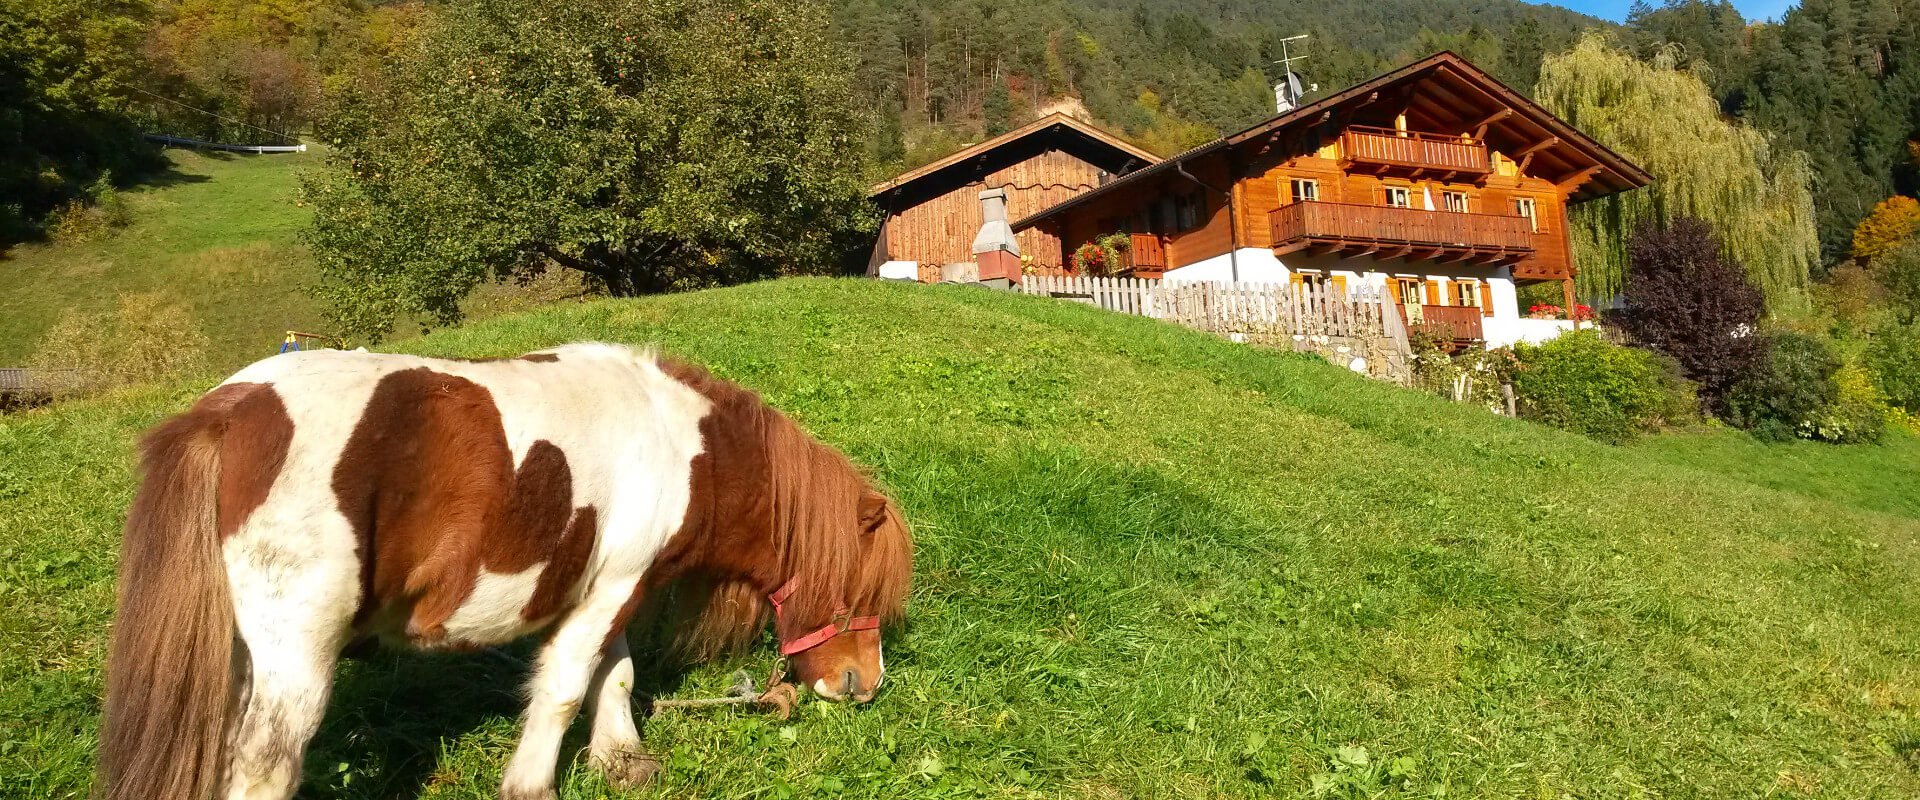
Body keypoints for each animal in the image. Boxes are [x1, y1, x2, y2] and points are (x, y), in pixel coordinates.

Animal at [93, 341, 917, 798]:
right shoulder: (612, 589)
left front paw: (622, 761)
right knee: (266, 764)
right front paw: (533, 785)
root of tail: (225, 414)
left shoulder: (610, 587)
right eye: (855, 592)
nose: (865, 686)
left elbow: (614, 674)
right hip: (296, 654)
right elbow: (562, 690)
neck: (685, 449)